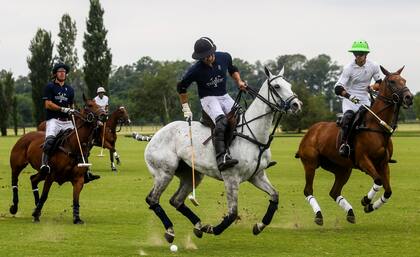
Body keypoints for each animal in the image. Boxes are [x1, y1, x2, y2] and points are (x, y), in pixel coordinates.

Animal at [144, 66, 302, 242]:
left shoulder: (257, 175)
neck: (253, 135)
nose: (297, 105)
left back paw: (199, 226)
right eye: (277, 86)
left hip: (192, 174)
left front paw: (259, 226)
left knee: (176, 200)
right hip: (164, 172)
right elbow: (232, 214)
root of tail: (154, 136)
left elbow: (275, 195)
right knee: (152, 199)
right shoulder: (231, 178)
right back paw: (171, 230)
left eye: (289, 84)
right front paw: (213, 229)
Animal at [296, 65, 414, 224]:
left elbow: (388, 191)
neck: (378, 126)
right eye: (392, 81)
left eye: (404, 80)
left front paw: (370, 207)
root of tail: (310, 132)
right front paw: (366, 200)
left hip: (342, 168)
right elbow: (378, 181)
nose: (409, 98)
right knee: (308, 190)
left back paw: (350, 212)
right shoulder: (363, 160)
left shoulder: (383, 164)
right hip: (310, 164)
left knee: (334, 192)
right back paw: (319, 215)